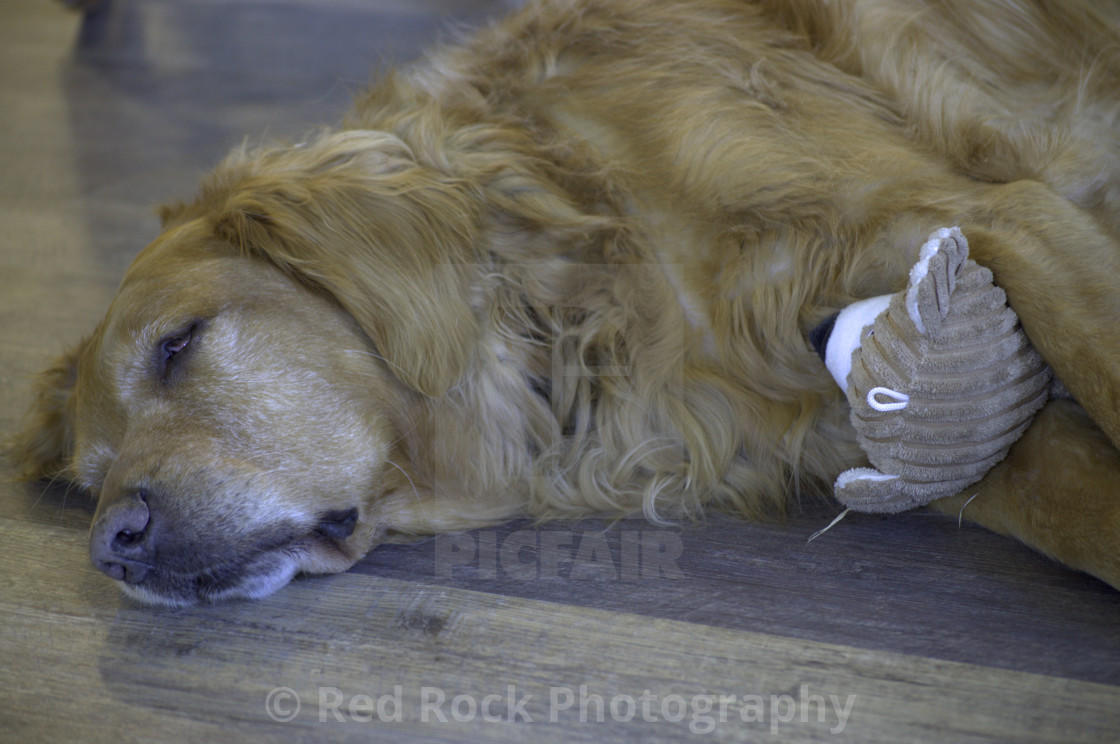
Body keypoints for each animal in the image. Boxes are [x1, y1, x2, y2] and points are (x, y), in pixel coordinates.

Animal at [8, 0, 1120, 605]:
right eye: (93, 477)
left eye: (180, 343)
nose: (110, 549)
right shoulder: (898, 429)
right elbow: (1082, 514)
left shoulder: (994, 215)